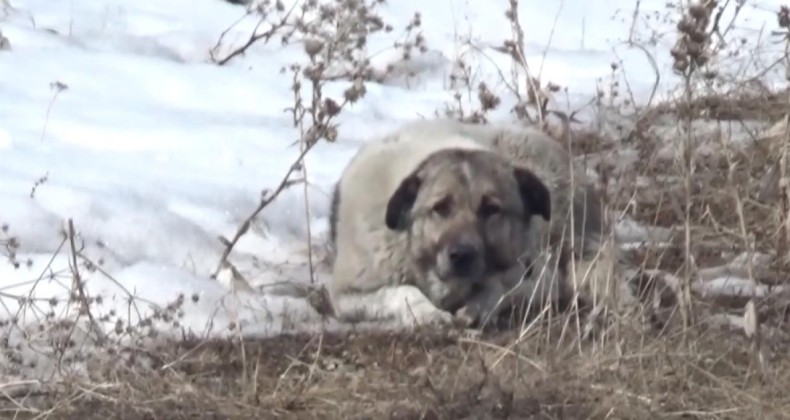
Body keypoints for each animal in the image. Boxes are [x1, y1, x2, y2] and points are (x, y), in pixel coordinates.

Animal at [326, 118, 624, 328]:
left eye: (491, 209)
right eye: (440, 208)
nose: (462, 255)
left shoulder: (531, 272)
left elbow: (500, 286)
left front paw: (478, 307)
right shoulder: (348, 295)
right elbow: (403, 291)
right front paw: (428, 313)